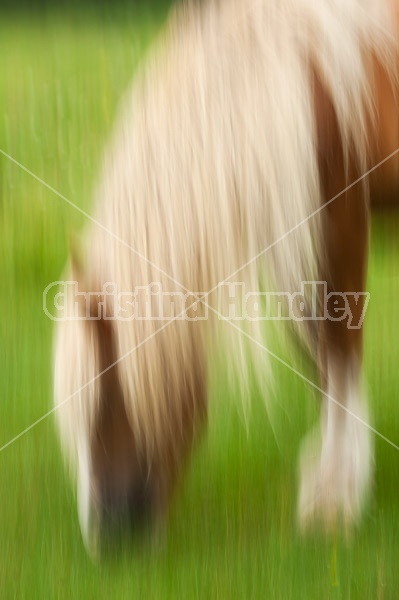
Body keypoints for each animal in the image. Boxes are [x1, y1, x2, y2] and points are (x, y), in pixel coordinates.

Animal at [53, 0, 399, 552]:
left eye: (108, 396)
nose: (109, 533)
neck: (302, 81)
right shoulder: (290, 232)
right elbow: (317, 354)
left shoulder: (340, 218)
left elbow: (340, 349)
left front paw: (333, 501)